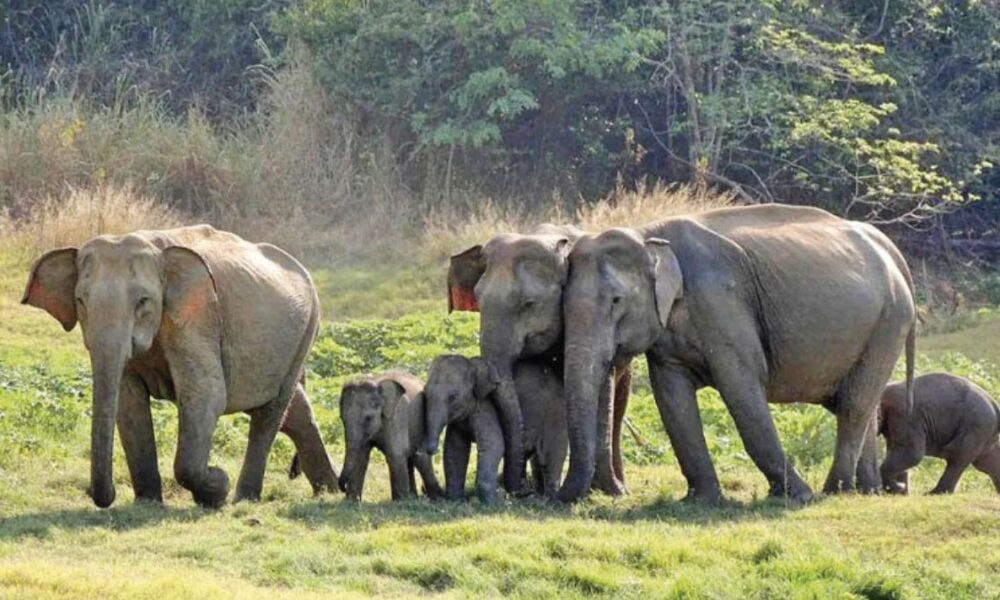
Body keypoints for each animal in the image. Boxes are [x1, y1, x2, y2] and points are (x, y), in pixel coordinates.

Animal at [21, 224, 338, 508]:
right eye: (80, 300)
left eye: (143, 301)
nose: (106, 497)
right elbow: (129, 403)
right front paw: (147, 503)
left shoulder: (196, 318)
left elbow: (206, 394)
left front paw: (216, 486)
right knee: (292, 408)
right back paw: (330, 491)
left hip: (307, 331)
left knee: (270, 412)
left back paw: (245, 499)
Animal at [338, 371, 443, 501]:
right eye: (342, 418)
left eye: (368, 418)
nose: (343, 487)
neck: (375, 383)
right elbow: (361, 457)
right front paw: (351, 501)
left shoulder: (396, 416)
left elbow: (395, 453)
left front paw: (399, 501)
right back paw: (414, 496)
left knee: (420, 457)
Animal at [423, 355, 568, 502]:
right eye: (426, 395)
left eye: (453, 397)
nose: (432, 450)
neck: (472, 364)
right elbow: (454, 449)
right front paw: (455, 500)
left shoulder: (487, 407)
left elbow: (494, 445)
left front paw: (492, 503)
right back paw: (537, 495)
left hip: (555, 413)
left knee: (551, 455)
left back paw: (548, 499)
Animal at [557, 204, 916, 504]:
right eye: (563, 303)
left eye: (616, 300)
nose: (561, 498)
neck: (649, 233)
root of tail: (889, 247)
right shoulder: (668, 341)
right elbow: (672, 399)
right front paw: (702, 501)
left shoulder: (723, 304)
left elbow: (741, 387)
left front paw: (797, 496)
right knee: (860, 403)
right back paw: (867, 490)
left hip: (890, 321)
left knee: (854, 404)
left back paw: (833, 492)